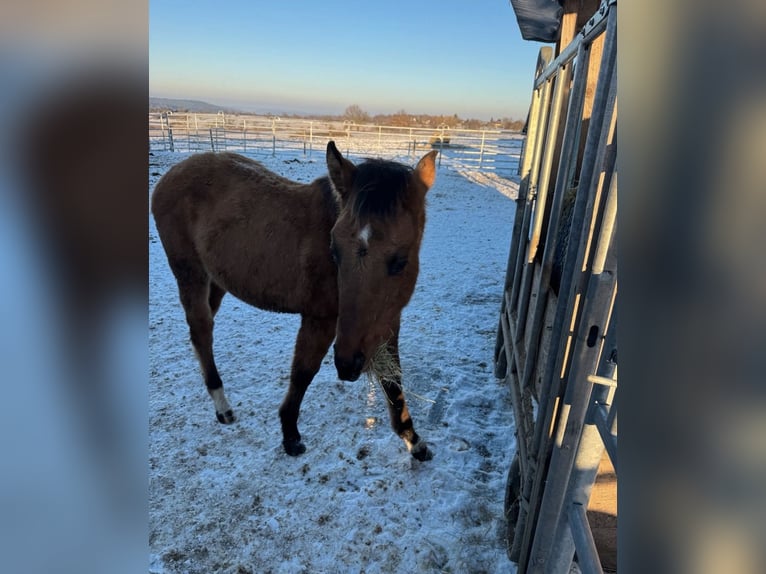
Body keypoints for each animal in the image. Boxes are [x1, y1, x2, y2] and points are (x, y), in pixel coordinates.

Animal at [151, 141, 437, 461]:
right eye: (334, 250)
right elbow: (302, 373)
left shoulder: (387, 321)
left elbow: (392, 379)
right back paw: (222, 406)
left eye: (400, 261)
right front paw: (290, 435)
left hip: (216, 280)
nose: (348, 364)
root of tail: (171, 174)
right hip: (191, 274)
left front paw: (413, 439)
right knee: (201, 330)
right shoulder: (321, 320)